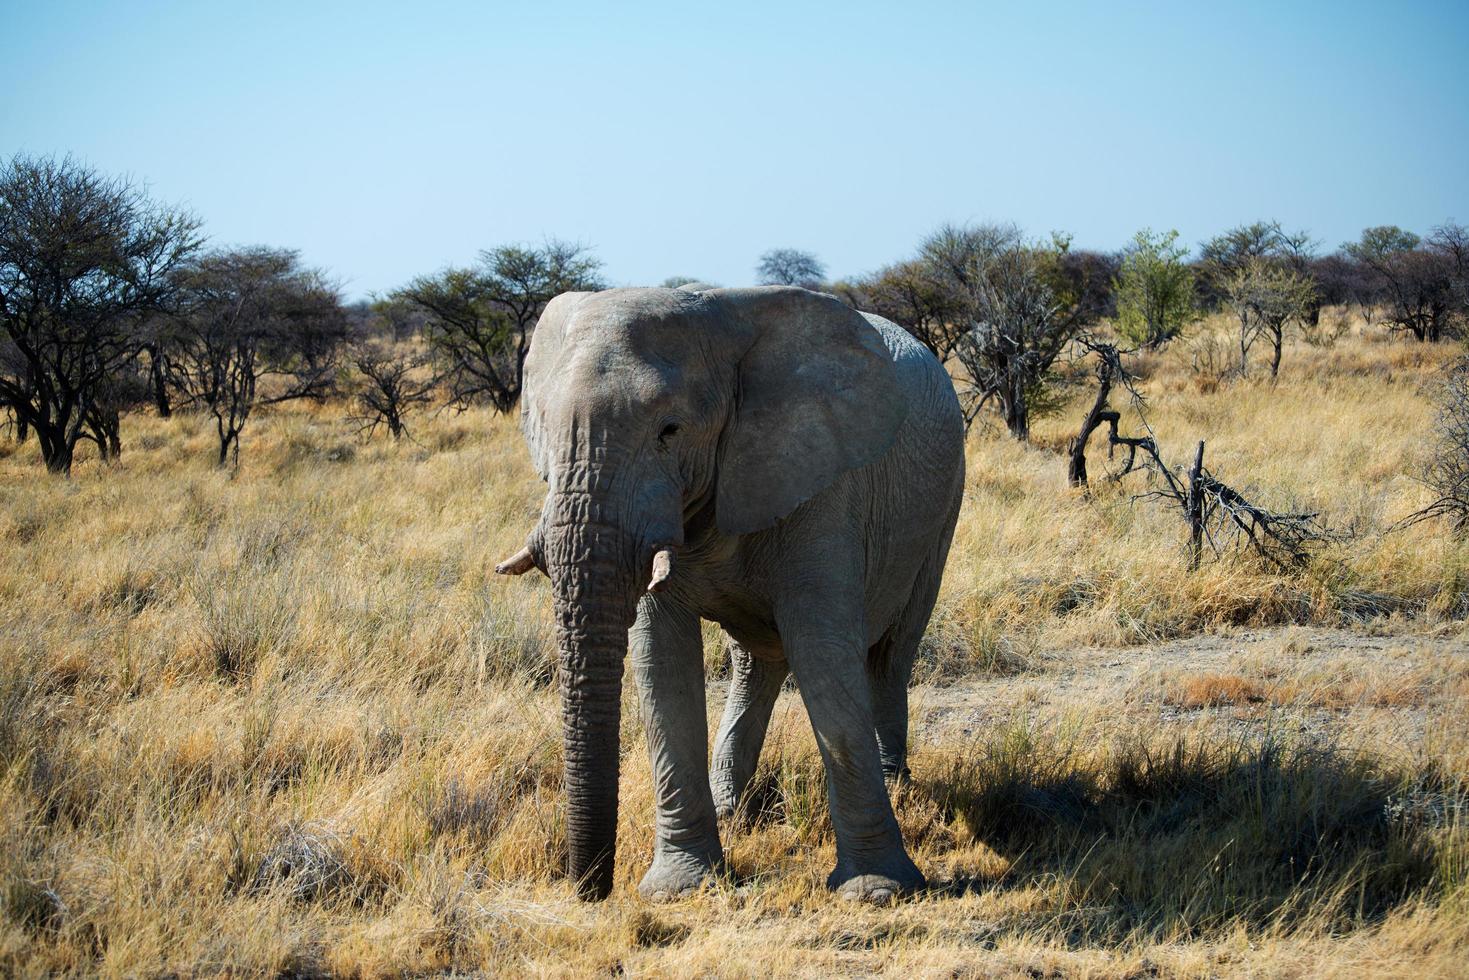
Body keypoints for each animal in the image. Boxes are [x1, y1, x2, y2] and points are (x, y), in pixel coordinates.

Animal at [493, 283, 969, 905]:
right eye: (544, 430)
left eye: (669, 430)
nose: (590, 889)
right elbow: (661, 659)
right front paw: (679, 888)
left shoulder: (821, 480)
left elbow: (823, 654)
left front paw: (878, 891)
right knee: (756, 663)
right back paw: (732, 808)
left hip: (944, 504)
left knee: (891, 652)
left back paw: (898, 787)